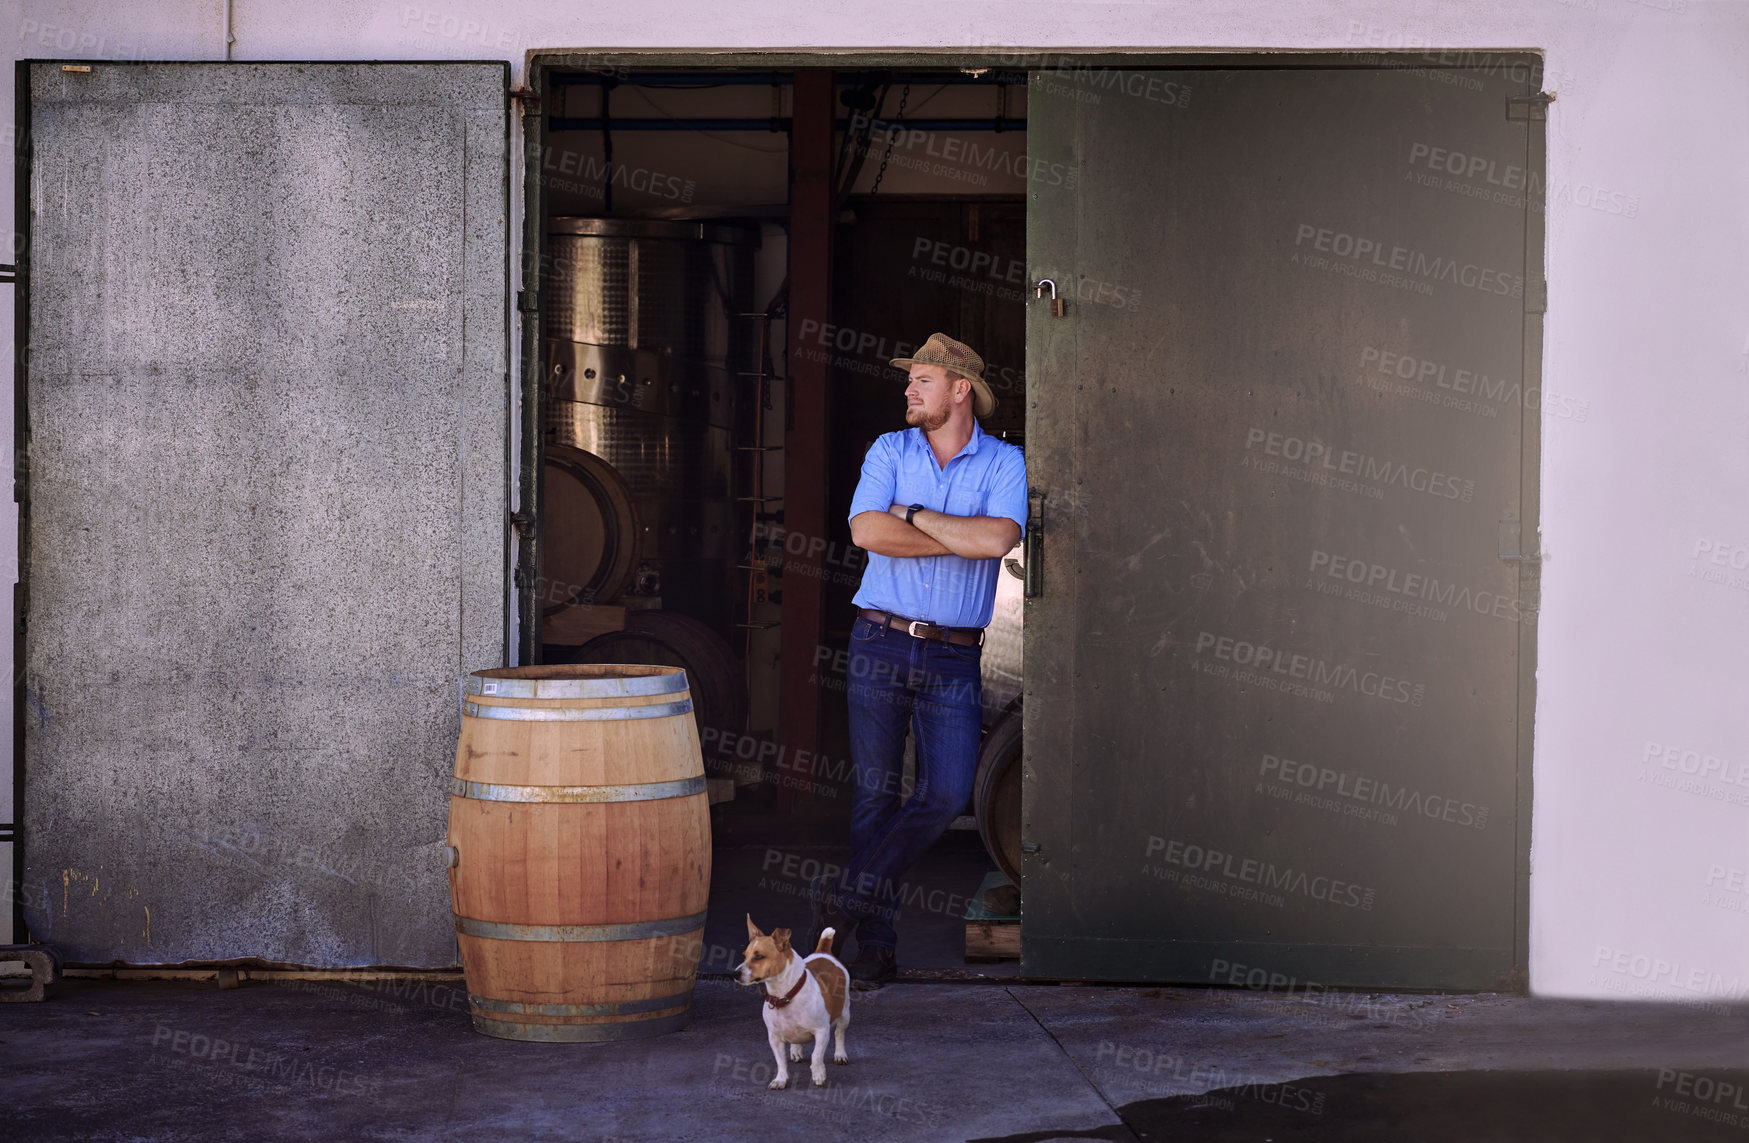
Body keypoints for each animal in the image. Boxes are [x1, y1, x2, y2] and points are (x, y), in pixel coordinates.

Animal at [734, 915, 850, 1090]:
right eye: (744, 955)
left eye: (759, 956)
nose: (734, 973)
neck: (784, 996)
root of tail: (823, 951)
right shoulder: (774, 1038)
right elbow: (781, 1062)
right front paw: (780, 1079)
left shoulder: (822, 1032)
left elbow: (816, 1056)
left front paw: (818, 1075)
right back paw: (796, 1050)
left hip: (845, 1014)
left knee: (839, 1033)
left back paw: (840, 1054)